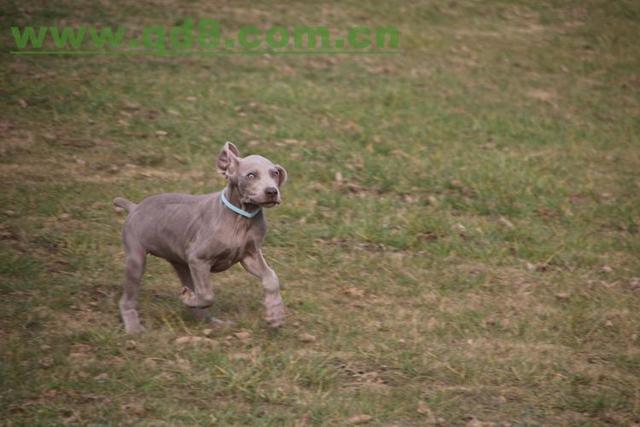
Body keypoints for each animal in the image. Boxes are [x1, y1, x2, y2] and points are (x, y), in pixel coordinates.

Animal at [113, 142, 288, 332]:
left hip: (181, 263)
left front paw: (275, 314)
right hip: (136, 257)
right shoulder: (199, 258)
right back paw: (133, 327)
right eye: (251, 175)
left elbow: (271, 278)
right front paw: (188, 298)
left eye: (275, 173)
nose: (272, 191)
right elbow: (207, 295)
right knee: (127, 298)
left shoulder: (250, 255)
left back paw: (213, 322)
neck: (241, 218)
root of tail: (134, 207)